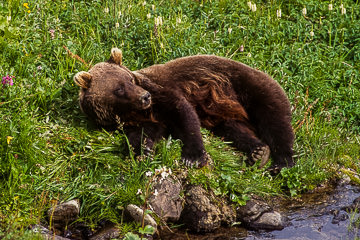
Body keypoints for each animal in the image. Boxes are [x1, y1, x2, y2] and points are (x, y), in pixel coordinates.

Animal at [74, 47, 296, 170]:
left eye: (129, 79)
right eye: (118, 89)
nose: (144, 96)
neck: (129, 112)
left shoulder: (162, 92)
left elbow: (182, 113)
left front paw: (193, 157)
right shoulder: (137, 119)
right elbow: (143, 134)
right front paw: (144, 151)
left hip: (248, 87)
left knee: (274, 121)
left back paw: (282, 161)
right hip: (228, 115)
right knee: (235, 130)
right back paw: (258, 151)